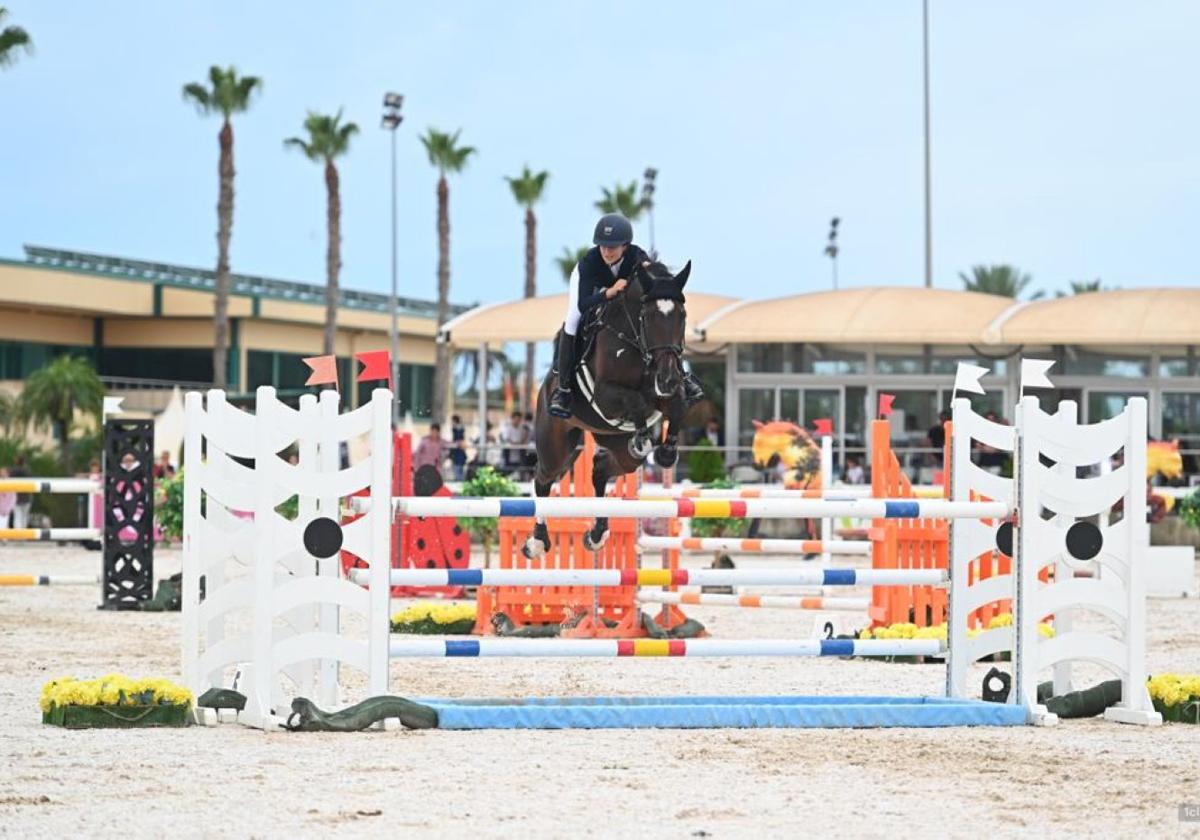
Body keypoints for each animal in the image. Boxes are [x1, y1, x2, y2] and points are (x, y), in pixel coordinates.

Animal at [523, 255, 696, 556]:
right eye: (648, 316)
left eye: (682, 316)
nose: (669, 378)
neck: (635, 341)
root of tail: (544, 389)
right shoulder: (604, 394)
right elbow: (636, 400)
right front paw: (644, 438)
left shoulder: (665, 392)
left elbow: (677, 405)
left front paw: (666, 451)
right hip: (556, 444)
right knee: (543, 478)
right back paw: (537, 541)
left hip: (614, 444)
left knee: (601, 466)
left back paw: (596, 534)